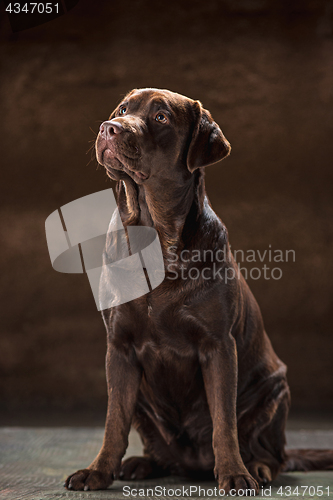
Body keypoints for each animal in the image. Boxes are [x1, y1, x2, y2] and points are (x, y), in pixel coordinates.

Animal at [65, 88, 332, 494]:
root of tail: (193, 464)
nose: (109, 128)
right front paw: (97, 471)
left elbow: (224, 420)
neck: (155, 235)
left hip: (273, 390)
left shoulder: (218, 345)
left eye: (160, 117)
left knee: (274, 452)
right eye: (123, 109)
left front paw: (235, 474)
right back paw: (141, 464)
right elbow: (114, 421)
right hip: (147, 403)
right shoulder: (120, 348)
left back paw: (257, 467)